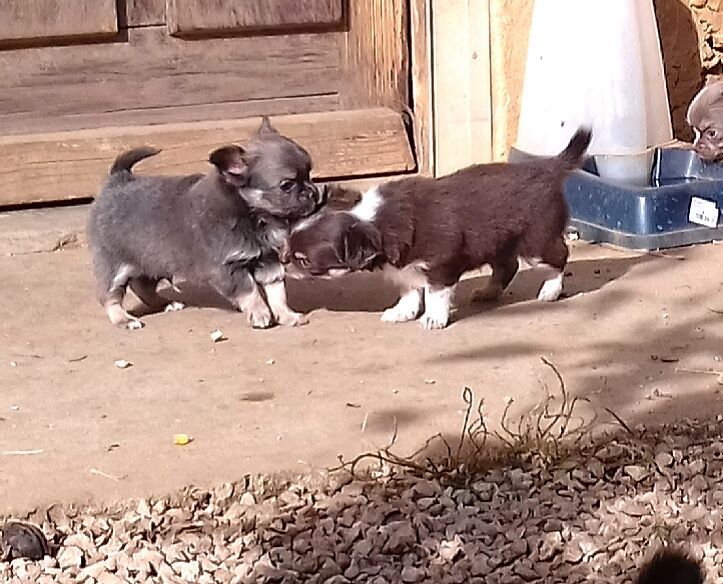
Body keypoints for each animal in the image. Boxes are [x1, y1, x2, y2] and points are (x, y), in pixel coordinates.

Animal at [87, 116, 326, 330]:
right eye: (287, 185)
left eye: (309, 174)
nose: (313, 192)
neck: (253, 215)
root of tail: (117, 180)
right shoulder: (229, 269)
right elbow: (251, 292)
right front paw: (260, 313)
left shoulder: (269, 262)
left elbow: (278, 293)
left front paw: (287, 315)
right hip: (113, 267)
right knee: (110, 296)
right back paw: (124, 319)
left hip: (149, 261)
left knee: (142, 286)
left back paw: (165, 304)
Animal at [282, 128, 592, 328]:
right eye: (288, 246)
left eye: (304, 260)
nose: (283, 262)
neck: (374, 220)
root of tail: (547, 168)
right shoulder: (406, 268)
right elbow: (409, 290)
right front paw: (402, 312)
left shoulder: (441, 265)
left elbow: (434, 294)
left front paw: (433, 318)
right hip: (498, 243)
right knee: (507, 266)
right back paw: (488, 292)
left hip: (536, 241)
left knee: (559, 256)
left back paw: (550, 291)